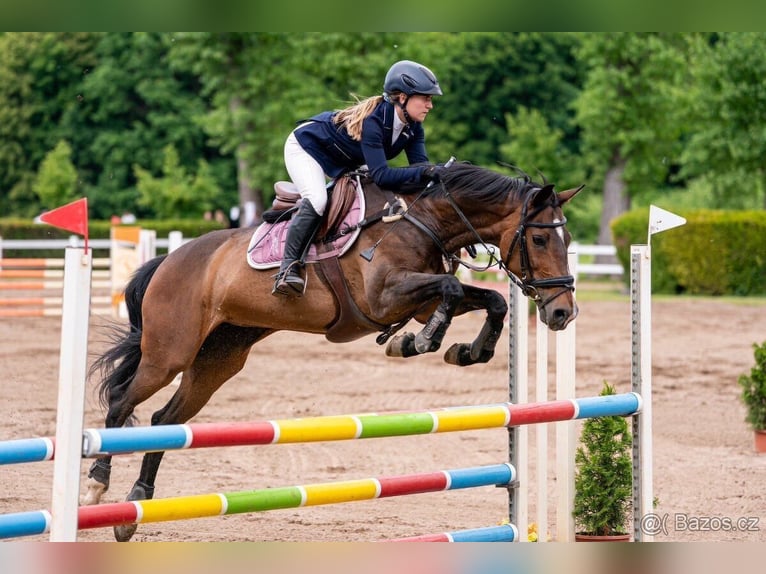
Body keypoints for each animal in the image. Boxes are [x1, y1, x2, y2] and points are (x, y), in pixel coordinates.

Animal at [83, 161, 582, 541]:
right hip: (169, 353)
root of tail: (169, 260)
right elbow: (452, 286)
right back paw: (96, 487)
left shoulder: (416, 300)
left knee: (163, 421)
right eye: (539, 239)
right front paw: (421, 341)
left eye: (568, 241)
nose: (562, 312)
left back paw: (136, 505)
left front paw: (461, 350)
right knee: (122, 404)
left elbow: (489, 299)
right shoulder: (385, 298)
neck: (423, 220)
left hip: (217, 361)